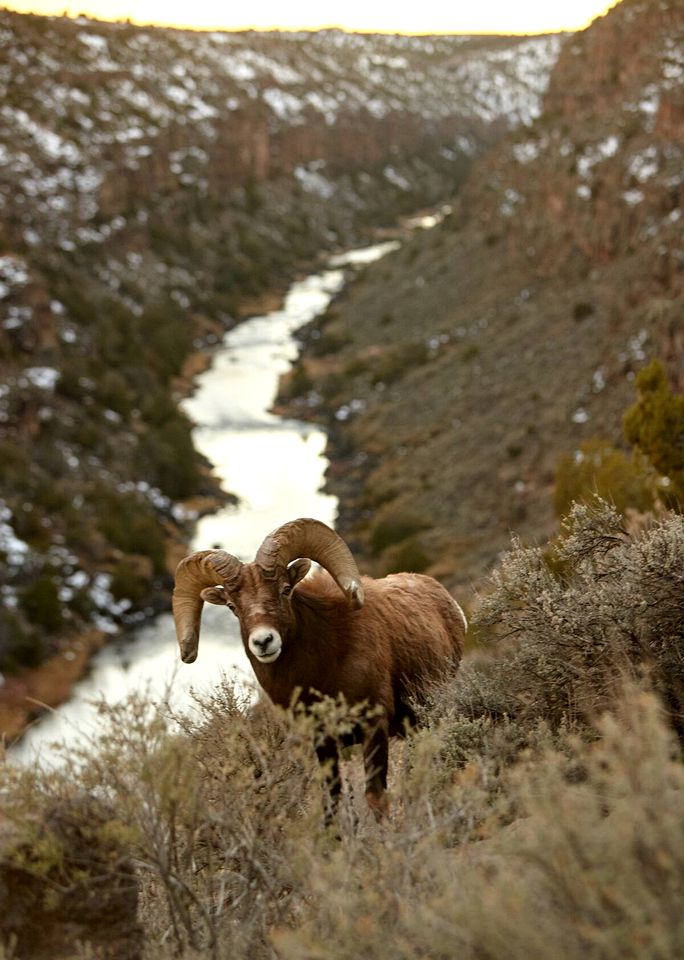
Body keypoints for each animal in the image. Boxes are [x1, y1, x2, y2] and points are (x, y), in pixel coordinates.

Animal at [174, 516, 468, 816]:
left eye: (285, 589)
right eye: (233, 606)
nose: (263, 641)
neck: (321, 675)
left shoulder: (373, 726)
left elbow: (375, 796)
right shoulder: (322, 742)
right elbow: (332, 802)